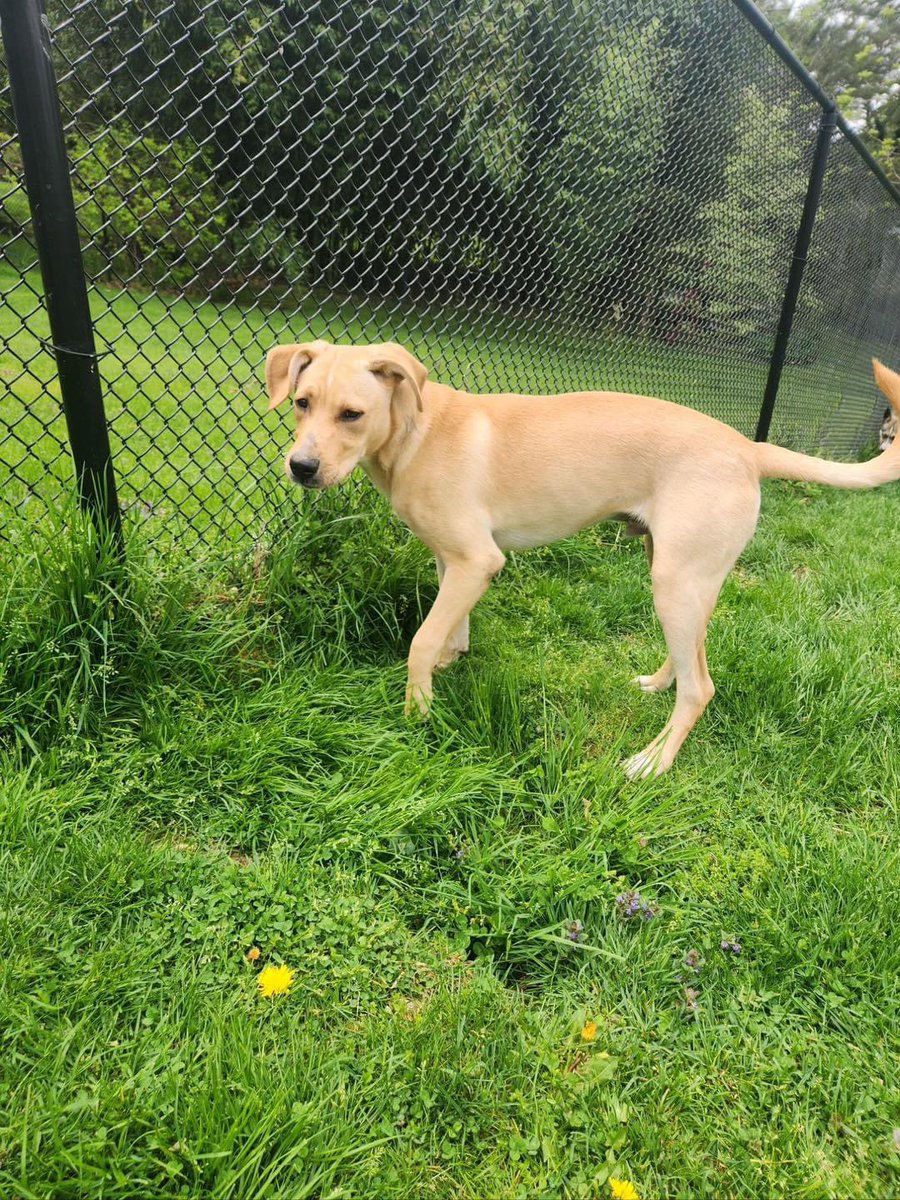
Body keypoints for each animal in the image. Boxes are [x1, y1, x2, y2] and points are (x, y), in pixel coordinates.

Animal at [264, 343, 900, 782]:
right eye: (301, 403)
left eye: (352, 414)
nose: (300, 467)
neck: (415, 430)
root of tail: (749, 448)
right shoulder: (454, 562)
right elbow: (449, 628)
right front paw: (449, 663)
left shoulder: (477, 560)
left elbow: (421, 639)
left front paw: (416, 713)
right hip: (686, 577)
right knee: (692, 657)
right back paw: (659, 683)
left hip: (674, 582)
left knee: (701, 689)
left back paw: (652, 763)